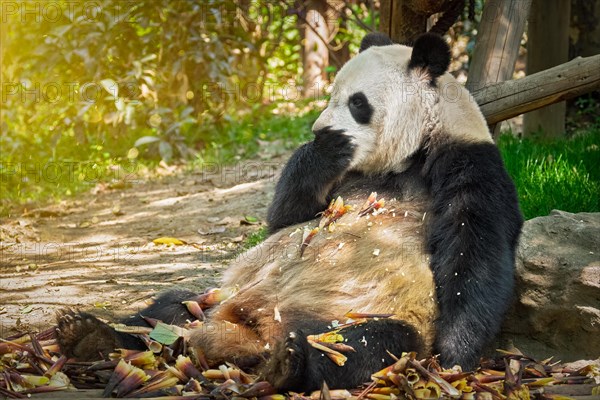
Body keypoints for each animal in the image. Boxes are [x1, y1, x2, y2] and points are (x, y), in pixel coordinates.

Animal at [57, 32, 524, 392]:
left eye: (358, 103)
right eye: (332, 96)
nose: (320, 128)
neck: (403, 159)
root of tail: (251, 331)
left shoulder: (468, 162)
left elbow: (474, 249)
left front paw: (455, 355)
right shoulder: (341, 180)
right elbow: (286, 219)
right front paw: (324, 148)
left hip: (360, 313)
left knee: (365, 344)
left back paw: (290, 364)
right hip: (215, 298)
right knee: (166, 310)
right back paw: (91, 335)